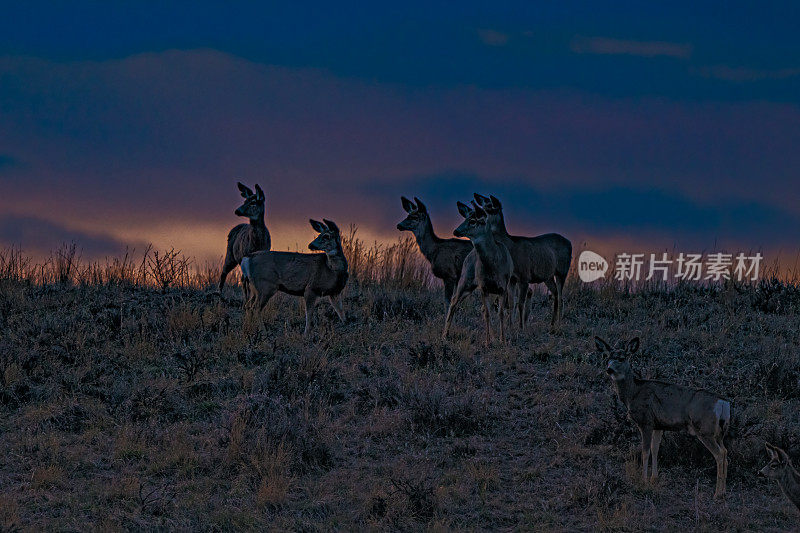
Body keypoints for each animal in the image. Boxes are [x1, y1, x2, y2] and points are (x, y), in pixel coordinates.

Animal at [444, 201, 512, 344]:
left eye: (473, 221)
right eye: (465, 218)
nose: (456, 230)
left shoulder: (503, 286)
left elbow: (501, 313)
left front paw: (502, 340)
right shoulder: (483, 286)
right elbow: (487, 313)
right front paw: (487, 342)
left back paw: (495, 337)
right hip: (465, 279)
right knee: (453, 301)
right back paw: (444, 335)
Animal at [472, 193, 572, 326]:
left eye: (489, 207)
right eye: (481, 206)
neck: (511, 248)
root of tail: (569, 242)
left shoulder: (524, 277)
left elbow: (520, 303)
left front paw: (520, 326)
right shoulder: (512, 279)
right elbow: (511, 303)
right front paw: (510, 325)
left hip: (562, 271)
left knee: (560, 296)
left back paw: (559, 324)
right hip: (548, 276)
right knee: (555, 293)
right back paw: (552, 323)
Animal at [596, 336, 736, 498]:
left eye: (621, 358)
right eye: (607, 358)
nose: (609, 369)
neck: (633, 393)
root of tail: (723, 402)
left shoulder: (646, 421)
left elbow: (645, 451)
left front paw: (643, 480)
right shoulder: (659, 425)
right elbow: (655, 448)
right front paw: (653, 478)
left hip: (704, 428)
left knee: (719, 454)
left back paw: (717, 494)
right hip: (719, 431)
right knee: (725, 452)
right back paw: (723, 491)